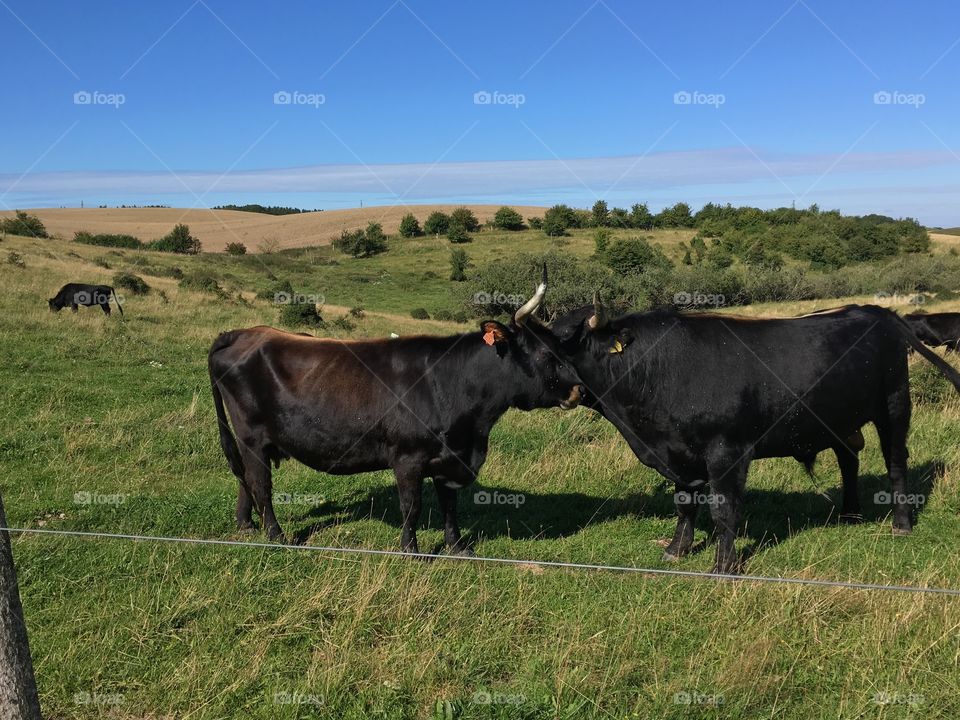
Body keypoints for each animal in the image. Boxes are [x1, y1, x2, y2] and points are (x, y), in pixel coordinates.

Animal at [207, 272, 580, 556]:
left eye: (561, 348)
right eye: (544, 353)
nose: (579, 388)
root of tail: (244, 333)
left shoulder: (450, 457)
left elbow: (449, 504)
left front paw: (457, 546)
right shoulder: (407, 457)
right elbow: (411, 506)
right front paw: (410, 550)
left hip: (253, 440)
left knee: (246, 478)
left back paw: (246, 524)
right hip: (252, 435)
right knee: (260, 483)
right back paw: (275, 534)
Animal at [544, 302, 960, 572]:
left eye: (555, 346)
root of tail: (876, 311)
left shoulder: (726, 452)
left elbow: (724, 509)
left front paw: (724, 567)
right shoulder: (678, 455)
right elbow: (684, 504)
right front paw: (677, 550)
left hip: (894, 405)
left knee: (895, 462)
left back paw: (901, 523)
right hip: (840, 419)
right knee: (849, 459)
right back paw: (850, 513)